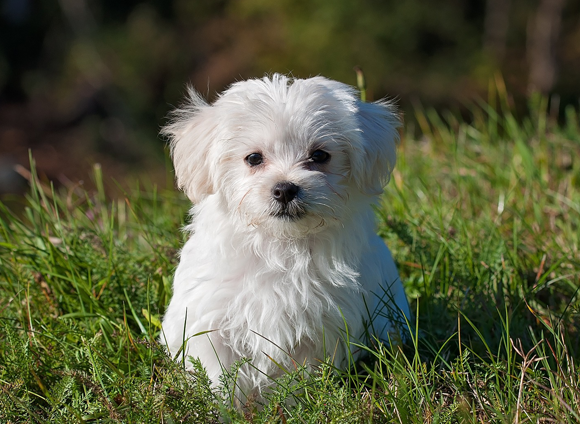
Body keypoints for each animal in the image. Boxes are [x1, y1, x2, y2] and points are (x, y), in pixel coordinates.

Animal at [161, 73, 410, 400]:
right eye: (253, 158)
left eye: (319, 155)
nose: (284, 189)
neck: (281, 245)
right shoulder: (210, 320)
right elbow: (218, 374)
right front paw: (223, 405)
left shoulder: (321, 328)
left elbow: (300, 377)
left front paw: (295, 402)